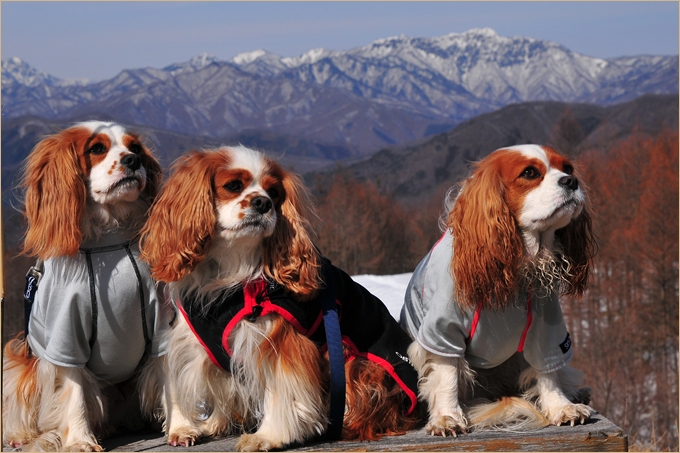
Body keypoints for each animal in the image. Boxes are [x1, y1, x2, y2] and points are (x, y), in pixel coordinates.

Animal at [1, 122, 170, 450]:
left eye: (135, 148)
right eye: (97, 149)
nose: (133, 160)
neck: (108, 242)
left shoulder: (160, 324)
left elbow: (171, 383)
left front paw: (183, 428)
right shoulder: (66, 337)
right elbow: (75, 394)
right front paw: (80, 440)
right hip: (20, 361)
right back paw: (20, 436)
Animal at [139, 147, 420, 450]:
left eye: (274, 192)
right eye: (233, 186)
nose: (263, 202)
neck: (231, 267)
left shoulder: (278, 339)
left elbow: (280, 390)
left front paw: (267, 436)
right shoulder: (199, 343)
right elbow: (205, 386)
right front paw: (200, 426)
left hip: (358, 360)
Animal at [402, 144, 596, 434]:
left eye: (568, 168)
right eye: (530, 173)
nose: (571, 181)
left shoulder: (547, 329)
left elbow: (548, 371)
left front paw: (560, 407)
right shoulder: (442, 331)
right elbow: (447, 376)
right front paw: (447, 417)